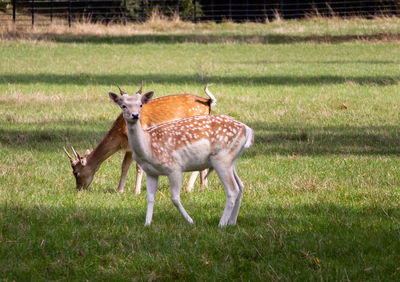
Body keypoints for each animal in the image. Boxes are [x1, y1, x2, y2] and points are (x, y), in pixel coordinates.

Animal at [65, 83, 216, 194]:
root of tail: (207, 102)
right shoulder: (128, 148)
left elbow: (138, 167)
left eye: (76, 173)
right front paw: (119, 190)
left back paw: (190, 187)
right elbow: (124, 166)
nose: (79, 189)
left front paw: (136, 191)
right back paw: (203, 186)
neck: (120, 135)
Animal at [109, 85, 253, 226]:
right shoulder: (151, 172)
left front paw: (191, 221)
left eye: (140, 105)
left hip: (222, 159)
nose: (135, 115)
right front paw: (147, 224)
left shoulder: (174, 168)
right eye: (123, 106)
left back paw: (222, 224)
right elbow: (150, 198)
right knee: (240, 186)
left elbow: (175, 198)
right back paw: (232, 222)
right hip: (231, 160)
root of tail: (248, 130)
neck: (148, 146)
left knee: (232, 190)